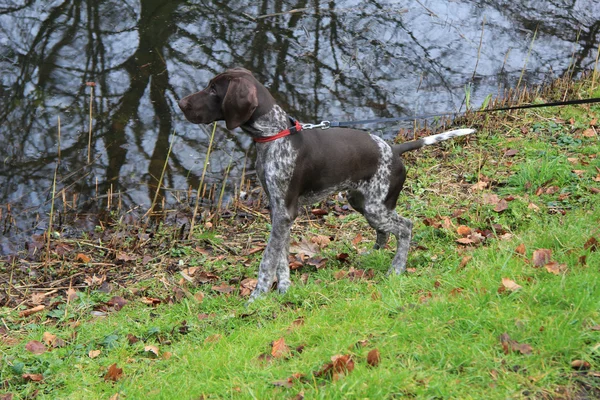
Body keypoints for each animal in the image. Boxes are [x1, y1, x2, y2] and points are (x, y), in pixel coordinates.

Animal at [178, 68, 474, 300]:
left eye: (213, 89)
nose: (180, 103)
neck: (274, 134)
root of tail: (394, 148)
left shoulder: (284, 212)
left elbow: (267, 260)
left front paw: (256, 298)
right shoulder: (279, 211)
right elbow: (281, 256)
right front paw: (283, 290)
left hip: (377, 208)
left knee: (406, 228)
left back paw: (396, 268)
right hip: (362, 203)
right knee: (385, 232)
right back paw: (372, 255)